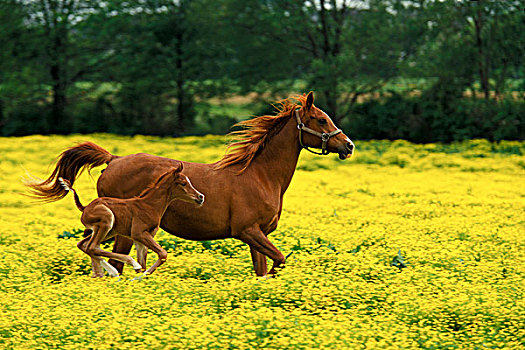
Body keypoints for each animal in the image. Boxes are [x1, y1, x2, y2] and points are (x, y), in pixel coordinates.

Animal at [58, 165, 203, 278]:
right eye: (183, 183)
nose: (200, 197)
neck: (150, 205)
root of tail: (85, 207)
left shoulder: (142, 238)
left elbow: (144, 262)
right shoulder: (138, 233)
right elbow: (162, 254)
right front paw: (139, 275)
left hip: (108, 231)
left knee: (84, 245)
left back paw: (104, 273)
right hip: (107, 221)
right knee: (92, 246)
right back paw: (120, 269)